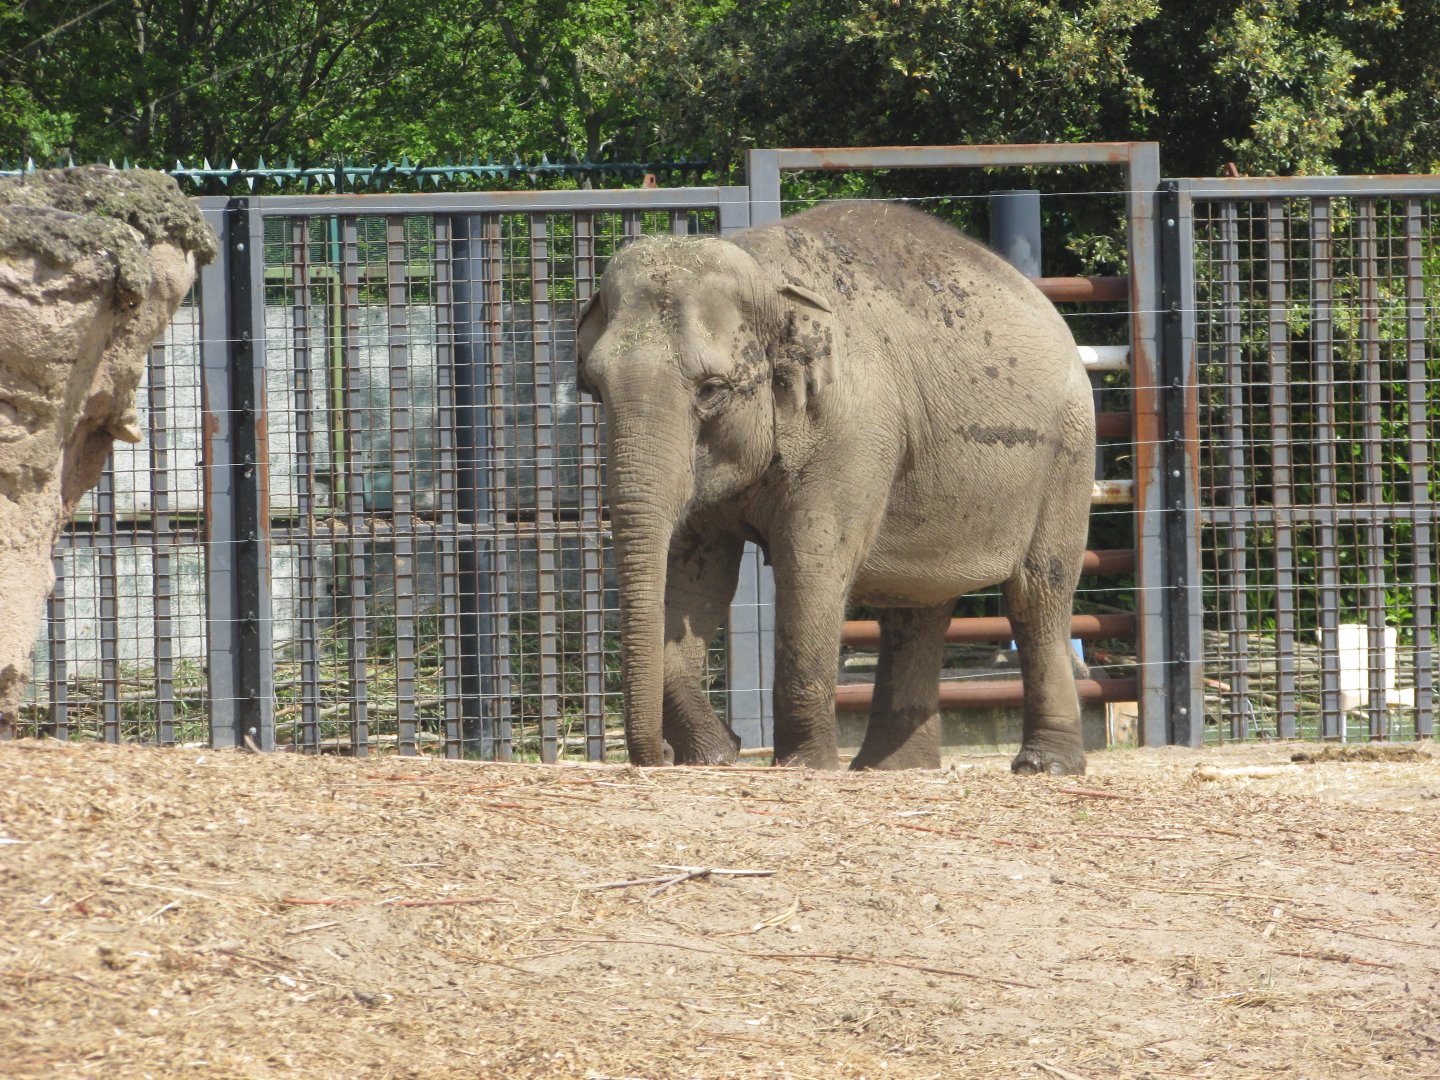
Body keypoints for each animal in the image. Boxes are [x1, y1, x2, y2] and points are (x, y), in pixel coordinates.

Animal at [576, 200, 1095, 774]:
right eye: (594, 386)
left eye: (711, 390)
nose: (660, 757)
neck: (763, 272)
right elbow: (696, 579)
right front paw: (711, 757)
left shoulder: (853, 428)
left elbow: (811, 560)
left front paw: (805, 766)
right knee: (915, 606)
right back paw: (892, 770)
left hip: (1068, 452)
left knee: (1037, 593)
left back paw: (1043, 766)